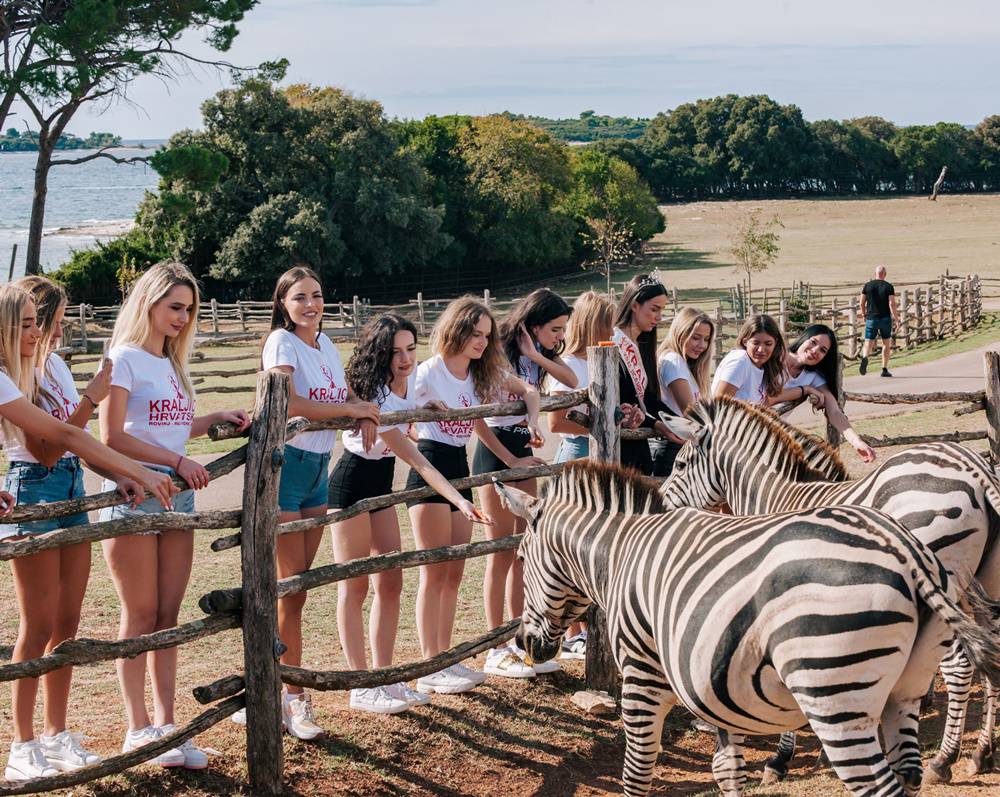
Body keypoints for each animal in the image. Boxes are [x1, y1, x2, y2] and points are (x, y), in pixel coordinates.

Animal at [500, 460, 1000, 796]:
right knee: (909, 769)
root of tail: (903, 550)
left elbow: (636, 774)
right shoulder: (714, 684)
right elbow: (726, 769)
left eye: (521, 558)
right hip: (903, 691)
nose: (524, 642)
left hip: (832, 691)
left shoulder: (643, 677)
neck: (623, 553)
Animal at [656, 394, 1000, 780]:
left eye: (680, 464)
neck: (776, 496)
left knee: (959, 666)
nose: (661, 506)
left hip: (945, 588)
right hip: (984, 586)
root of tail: (974, 469)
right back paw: (981, 753)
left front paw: (781, 759)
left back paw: (943, 760)